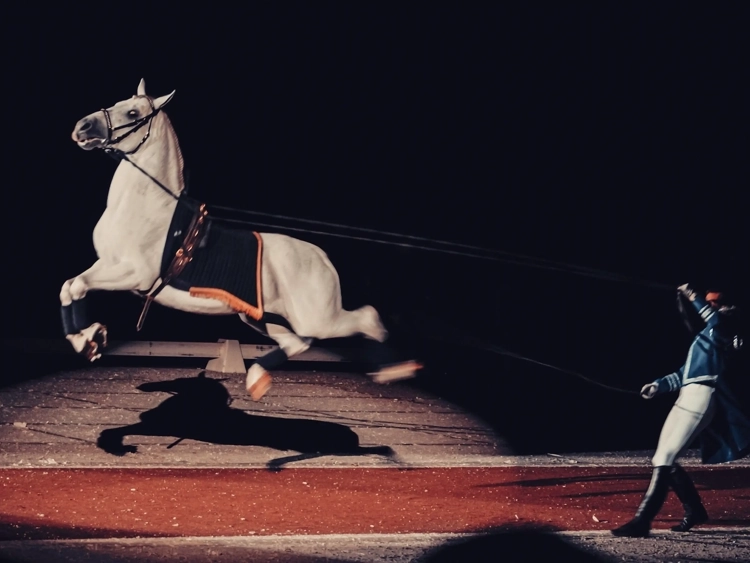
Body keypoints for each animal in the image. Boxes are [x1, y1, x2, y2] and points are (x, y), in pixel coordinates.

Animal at [62, 78, 422, 401]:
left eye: (134, 112)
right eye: (117, 102)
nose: (82, 126)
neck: (147, 207)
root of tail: (321, 257)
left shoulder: (134, 273)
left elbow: (77, 286)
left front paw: (89, 338)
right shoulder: (106, 265)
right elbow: (72, 286)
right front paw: (88, 339)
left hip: (319, 318)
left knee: (366, 318)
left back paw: (395, 371)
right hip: (264, 319)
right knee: (297, 342)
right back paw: (257, 379)